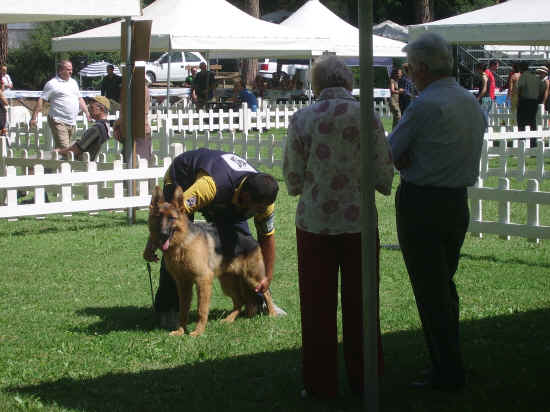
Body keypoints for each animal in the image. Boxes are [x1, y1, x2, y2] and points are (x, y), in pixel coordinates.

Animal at [148, 185, 276, 336]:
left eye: (172, 218)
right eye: (159, 216)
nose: (163, 234)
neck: (182, 244)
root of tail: (252, 240)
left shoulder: (203, 280)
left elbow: (201, 310)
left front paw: (198, 332)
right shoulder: (183, 284)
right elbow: (183, 310)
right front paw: (180, 331)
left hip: (253, 279)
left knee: (266, 292)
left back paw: (273, 314)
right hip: (227, 284)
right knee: (240, 301)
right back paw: (229, 319)